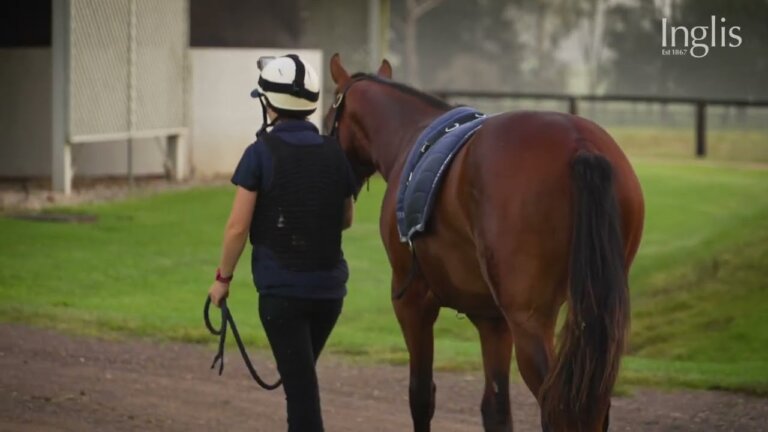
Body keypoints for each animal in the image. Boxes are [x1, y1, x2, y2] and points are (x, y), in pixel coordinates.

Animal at [328, 54, 644, 432]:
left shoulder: (412, 301)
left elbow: (421, 394)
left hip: (529, 320)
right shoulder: (493, 320)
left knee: (559, 407)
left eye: (328, 116)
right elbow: (496, 409)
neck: (410, 139)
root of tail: (580, 145)